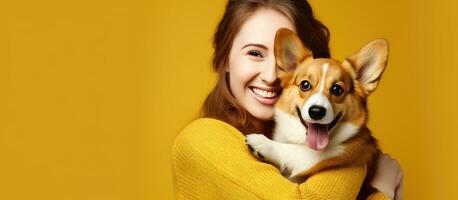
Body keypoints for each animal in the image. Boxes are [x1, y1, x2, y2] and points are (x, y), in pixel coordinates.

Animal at [245, 28, 388, 198]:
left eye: (337, 89)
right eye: (305, 85)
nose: (316, 112)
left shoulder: (333, 154)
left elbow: (296, 151)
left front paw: (264, 143)